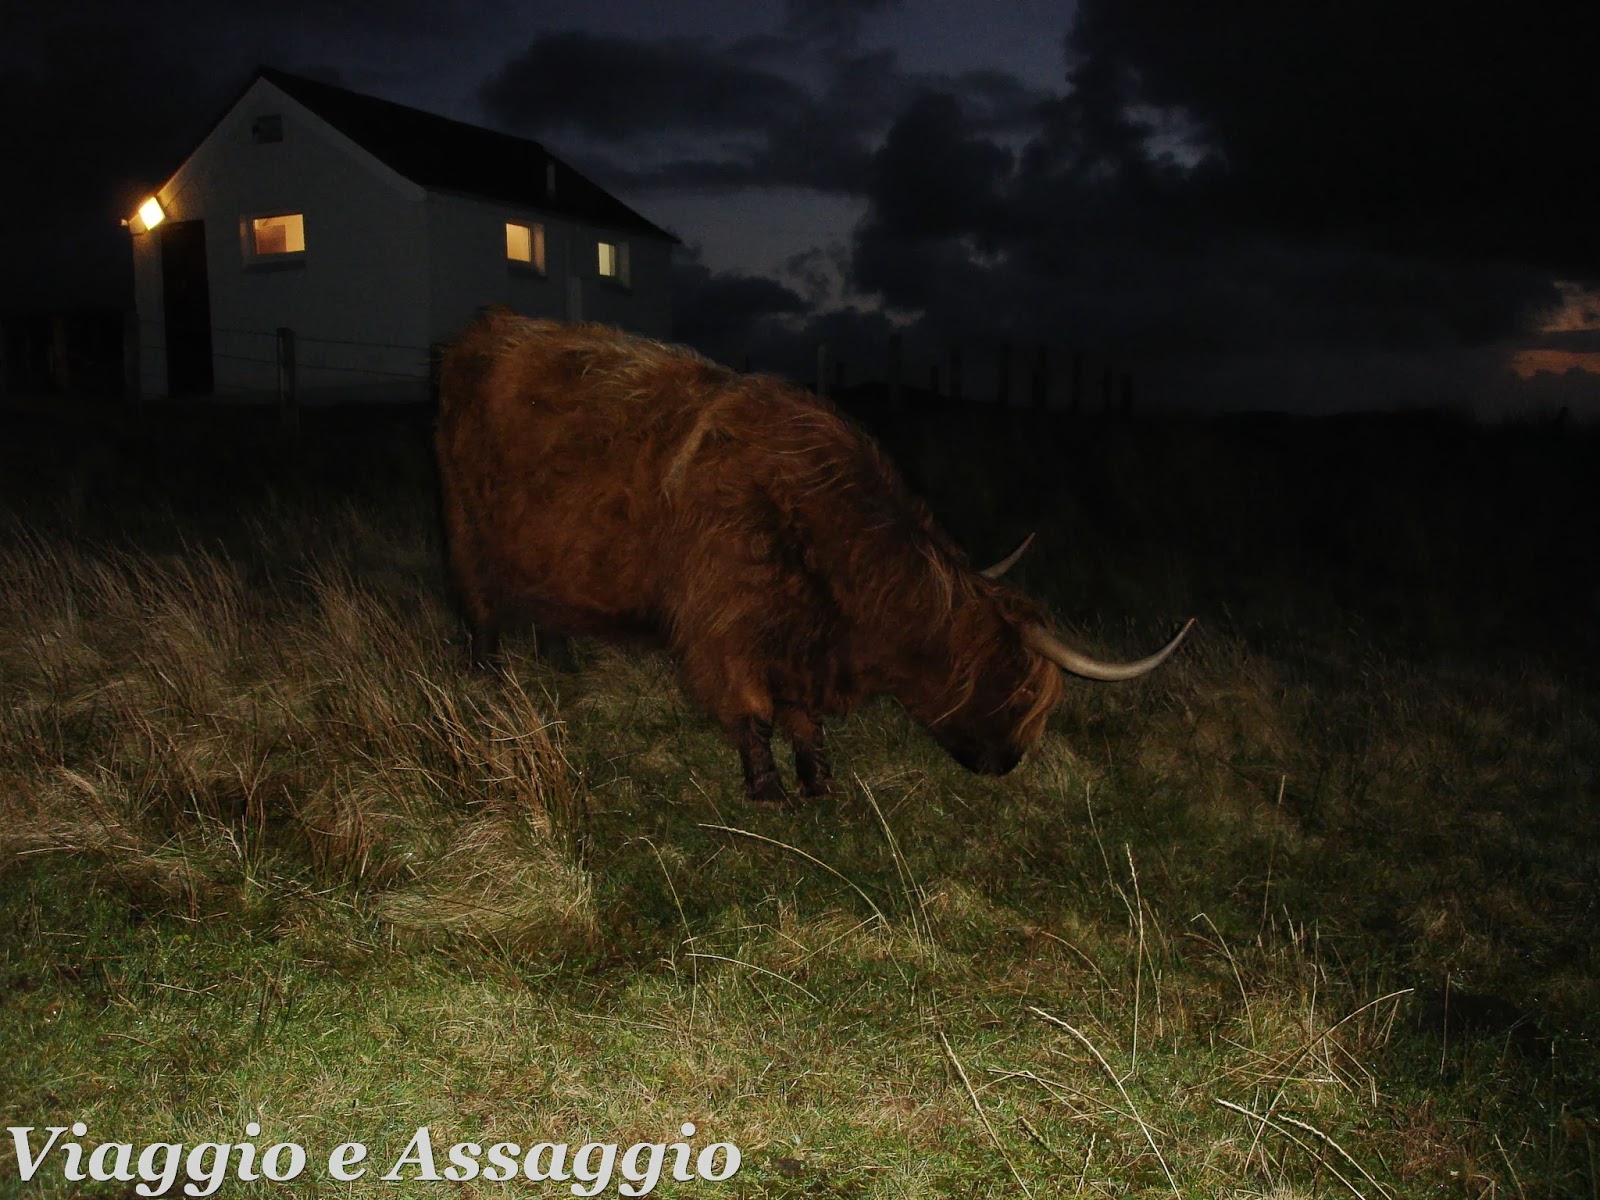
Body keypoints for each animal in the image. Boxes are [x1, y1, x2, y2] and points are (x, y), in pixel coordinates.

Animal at [435, 307, 1190, 809]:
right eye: (1021, 691)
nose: (1006, 765)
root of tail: (488, 328)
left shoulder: (797, 636)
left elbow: (802, 716)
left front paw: (820, 780)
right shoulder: (727, 628)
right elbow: (753, 710)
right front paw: (769, 789)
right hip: (466, 529)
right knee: (481, 610)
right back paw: (486, 684)